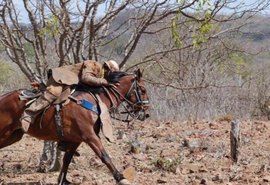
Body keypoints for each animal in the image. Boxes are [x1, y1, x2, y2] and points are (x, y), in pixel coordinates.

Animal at [0, 69, 150, 185]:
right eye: (142, 90)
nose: (146, 113)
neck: (92, 101)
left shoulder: (75, 140)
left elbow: (66, 160)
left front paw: (62, 180)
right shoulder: (90, 136)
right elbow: (104, 156)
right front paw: (121, 178)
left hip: (13, 136)